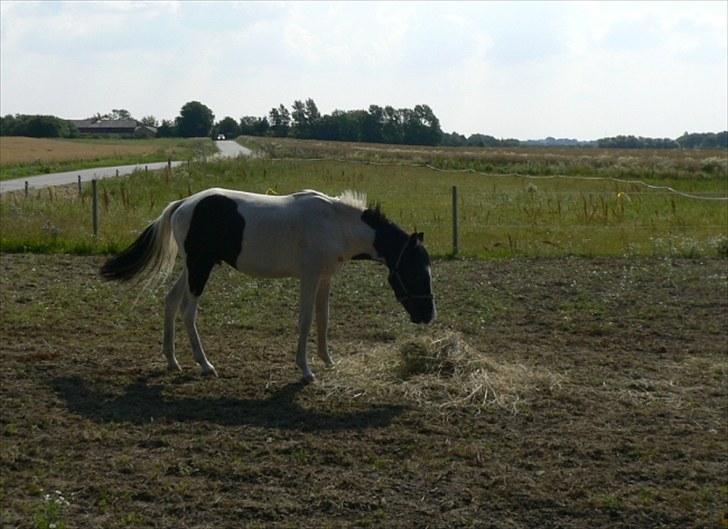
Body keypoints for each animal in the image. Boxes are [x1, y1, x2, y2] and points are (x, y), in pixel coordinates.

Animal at [99, 188, 436, 382]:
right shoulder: (309, 276)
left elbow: (323, 319)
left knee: (170, 302)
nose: (428, 315)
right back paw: (205, 365)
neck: (335, 223)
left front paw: (328, 360)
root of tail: (184, 204)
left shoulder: (325, 277)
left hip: (193, 266)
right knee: (187, 312)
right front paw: (305, 369)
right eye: (416, 271)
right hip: (199, 267)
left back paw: (172, 361)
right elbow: (305, 320)